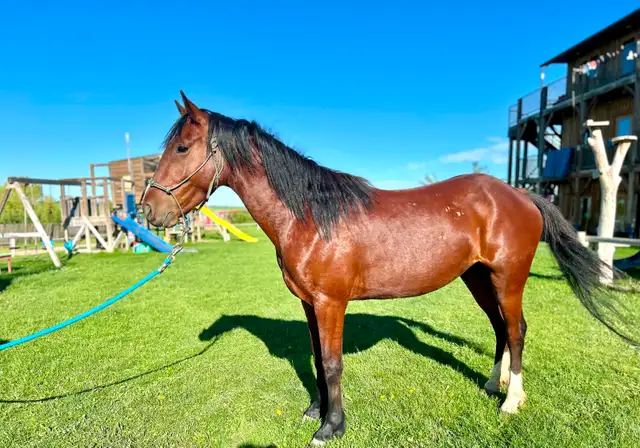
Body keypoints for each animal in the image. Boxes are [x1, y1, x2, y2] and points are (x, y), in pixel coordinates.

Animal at [142, 92, 634, 446]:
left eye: (182, 147)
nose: (149, 211)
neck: (309, 216)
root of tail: (520, 194)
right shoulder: (308, 305)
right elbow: (317, 360)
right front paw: (315, 411)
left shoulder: (331, 304)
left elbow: (333, 363)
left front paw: (331, 427)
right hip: (477, 278)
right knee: (498, 328)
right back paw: (492, 385)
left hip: (507, 278)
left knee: (515, 331)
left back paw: (511, 401)